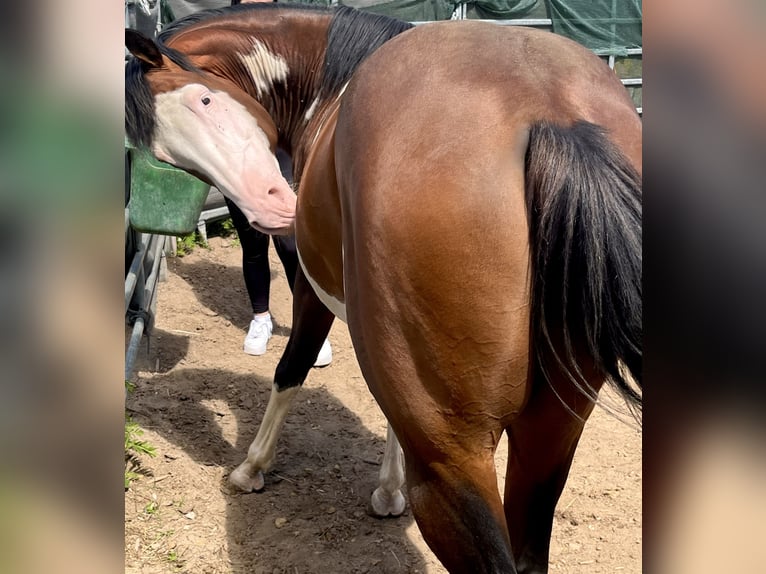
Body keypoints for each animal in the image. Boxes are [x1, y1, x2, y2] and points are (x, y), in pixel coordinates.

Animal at [125, 5, 642, 572]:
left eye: (204, 98)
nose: (272, 207)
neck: (329, 78)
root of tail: (551, 115)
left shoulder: (312, 290)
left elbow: (291, 369)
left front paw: (251, 467)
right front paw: (389, 491)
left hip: (452, 462)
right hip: (548, 435)